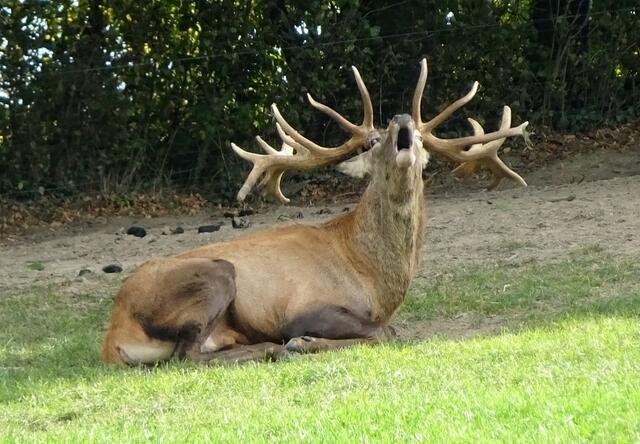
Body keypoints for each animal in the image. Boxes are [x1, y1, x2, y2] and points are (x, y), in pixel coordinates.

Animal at [101, 59, 528, 366]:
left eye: (423, 140)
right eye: (373, 142)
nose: (401, 120)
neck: (371, 277)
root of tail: (114, 337)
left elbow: (387, 331)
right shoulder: (303, 307)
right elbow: (384, 333)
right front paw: (302, 342)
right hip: (213, 276)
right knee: (185, 356)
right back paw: (272, 349)